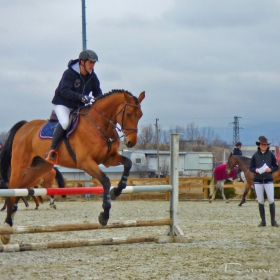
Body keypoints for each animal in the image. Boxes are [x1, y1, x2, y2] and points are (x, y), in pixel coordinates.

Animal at [0, 88, 144, 244]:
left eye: (140, 115)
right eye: (128, 114)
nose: (131, 142)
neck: (99, 124)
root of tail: (25, 126)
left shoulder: (108, 159)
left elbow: (128, 163)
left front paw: (116, 191)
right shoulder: (85, 162)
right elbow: (105, 181)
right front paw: (104, 215)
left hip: (39, 168)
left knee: (20, 189)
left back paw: (10, 223)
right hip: (20, 164)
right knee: (12, 189)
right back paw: (6, 228)